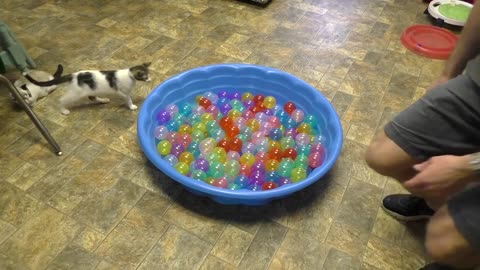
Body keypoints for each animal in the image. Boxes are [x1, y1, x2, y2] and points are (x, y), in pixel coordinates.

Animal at [23, 62, 151, 115]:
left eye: (149, 74)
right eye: (146, 76)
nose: (150, 79)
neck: (129, 74)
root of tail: (73, 75)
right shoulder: (123, 93)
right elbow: (128, 99)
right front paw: (132, 106)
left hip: (92, 89)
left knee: (92, 98)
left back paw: (103, 100)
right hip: (75, 93)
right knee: (62, 100)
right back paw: (64, 110)